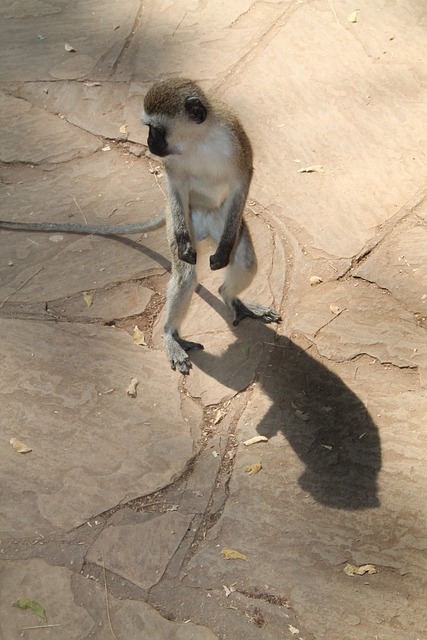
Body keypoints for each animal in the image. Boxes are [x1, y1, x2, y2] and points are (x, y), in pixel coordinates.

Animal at [0, 77, 280, 372]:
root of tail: (203, 225)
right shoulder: (175, 170)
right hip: (183, 219)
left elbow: (241, 181)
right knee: (185, 275)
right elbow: (175, 185)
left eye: (156, 129)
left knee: (245, 261)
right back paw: (171, 335)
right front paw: (184, 244)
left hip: (221, 219)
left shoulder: (234, 138)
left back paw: (230, 296)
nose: (149, 142)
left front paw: (225, 249)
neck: (198, 139)